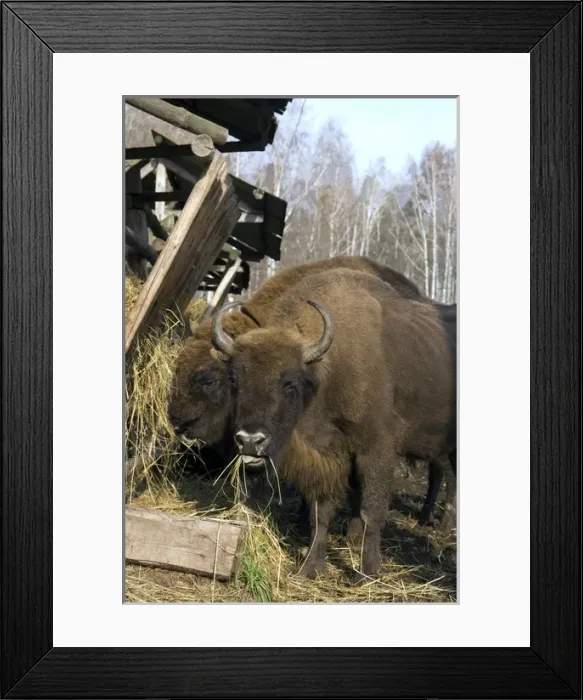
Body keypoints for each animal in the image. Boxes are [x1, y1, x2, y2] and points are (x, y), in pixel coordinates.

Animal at [211, 268, 456, 578]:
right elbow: (320, 513)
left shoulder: (376, 451)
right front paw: (310, 568)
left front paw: (368, 572)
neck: (325, 371)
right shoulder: (326, 455)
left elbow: (371, 510)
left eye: (290, 385)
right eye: (235, 380)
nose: (251, 440)